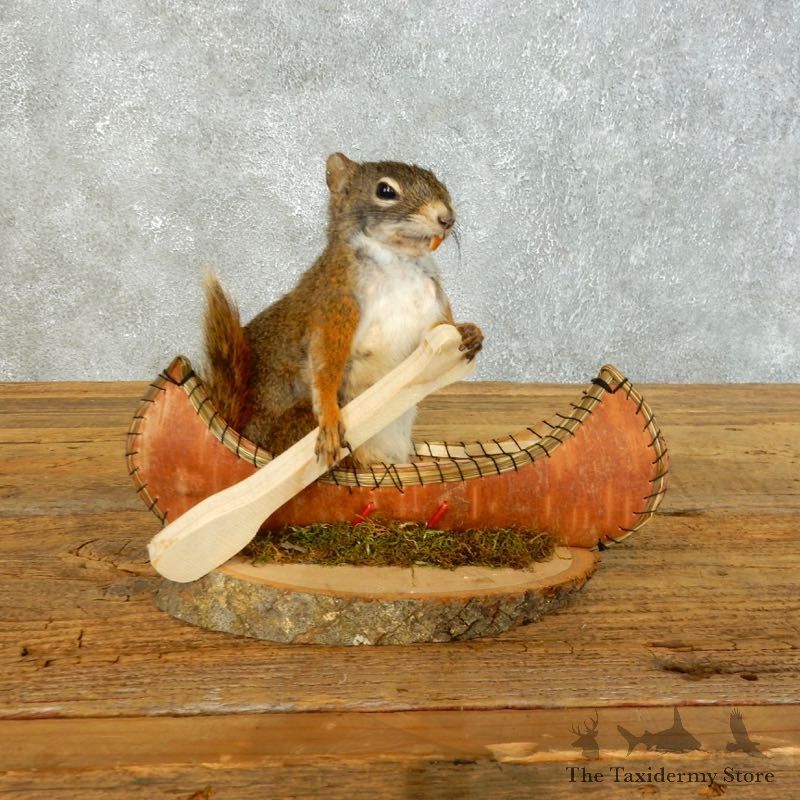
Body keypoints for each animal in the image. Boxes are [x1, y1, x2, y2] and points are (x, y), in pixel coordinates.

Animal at [202, 152, 483, 467]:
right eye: (385, 191)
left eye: (439, 182)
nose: (447, 219)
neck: (398, 262)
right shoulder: (335, 305)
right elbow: (326, 364)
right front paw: (330, 419)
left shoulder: (434, 305)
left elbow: (437, 337)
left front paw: (468, 332)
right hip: (298, 425)